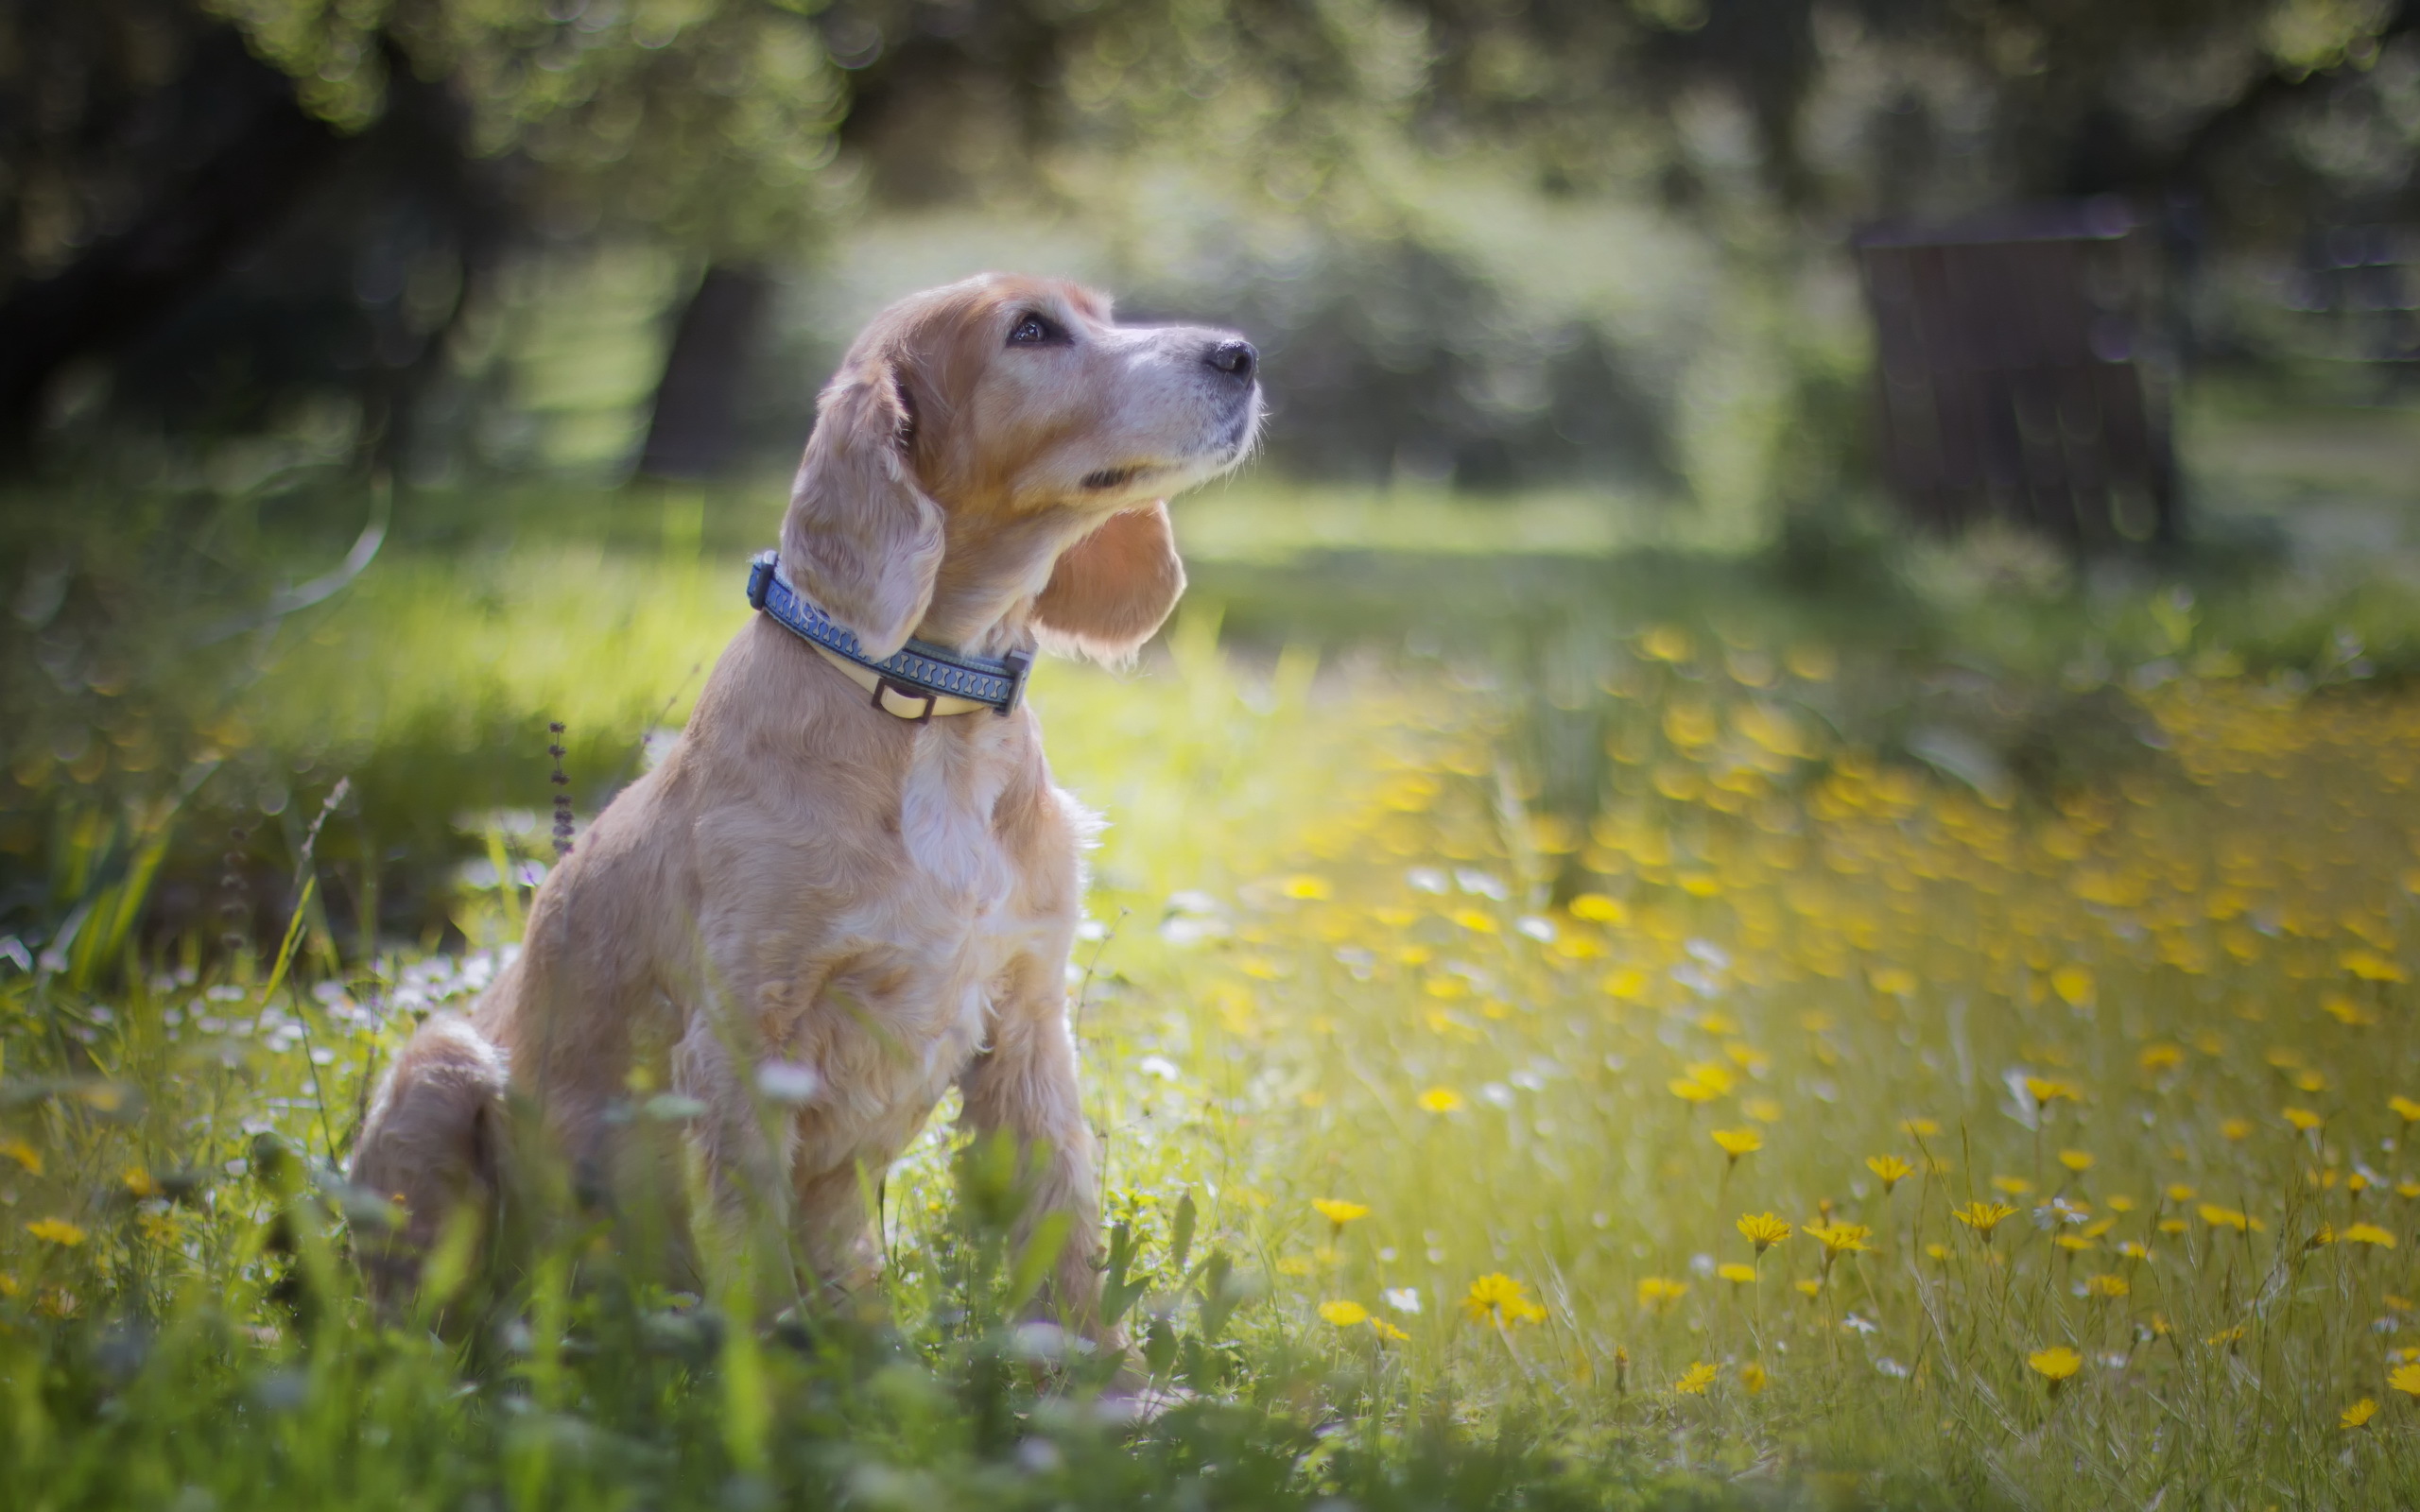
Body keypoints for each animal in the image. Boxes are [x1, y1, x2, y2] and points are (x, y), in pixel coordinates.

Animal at [357, 268, 1268, 1335]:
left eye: (1105, 314)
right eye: (1032, 332)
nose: (1240, 354)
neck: (930, 710)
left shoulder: (1026, 1021)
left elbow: (1066, 1236)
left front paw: (1101, 1377)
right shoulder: (742, 1039)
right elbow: (753, 1263)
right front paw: (777, 1380)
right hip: (438, 1069)